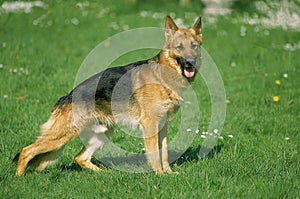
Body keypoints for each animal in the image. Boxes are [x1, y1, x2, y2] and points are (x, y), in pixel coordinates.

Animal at [14, 15, 202, 176]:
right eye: (179, 47)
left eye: (194, 46)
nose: (191, 62)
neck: (164, 75)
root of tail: (67, 96)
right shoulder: (150, 125)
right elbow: (155, 155)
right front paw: (159, 175)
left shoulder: (162, 126)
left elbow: (164, 154)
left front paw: (168, 173)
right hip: (62, 135)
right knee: (26, 151)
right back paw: (19, 178)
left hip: (102, 134)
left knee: (80, 158)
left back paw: (104, 173)